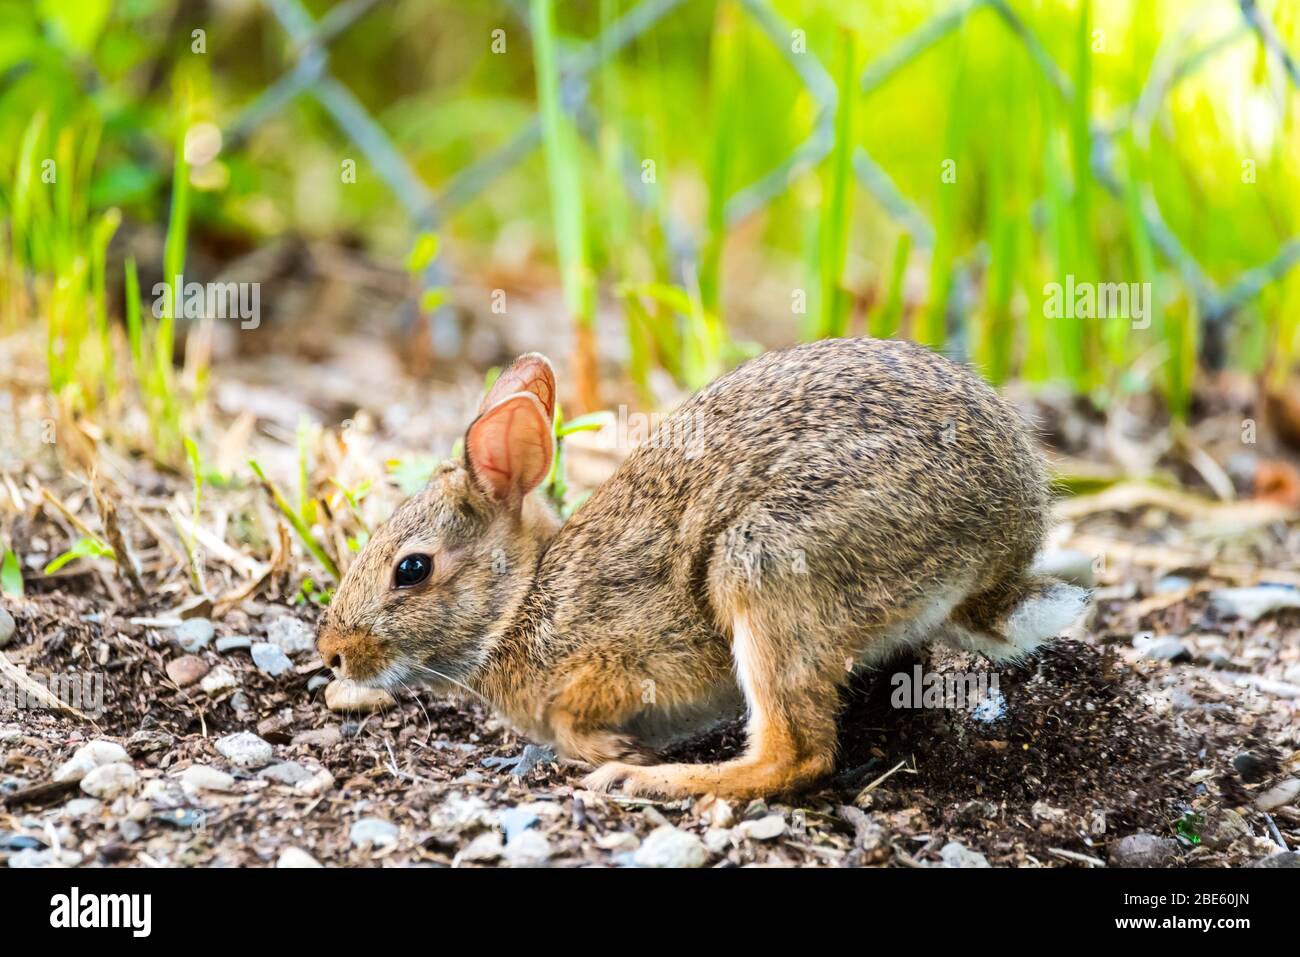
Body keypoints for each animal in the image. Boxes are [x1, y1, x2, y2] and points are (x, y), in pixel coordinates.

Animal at [319, 338, 1092, 800]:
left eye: (411, 569)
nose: (331, 654)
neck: (522, 600)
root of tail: (1000, 546)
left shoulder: (620, 656)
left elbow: (580, 711)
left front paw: (609, 748)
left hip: (766, 565)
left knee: (796, 754)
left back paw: (659, 780)